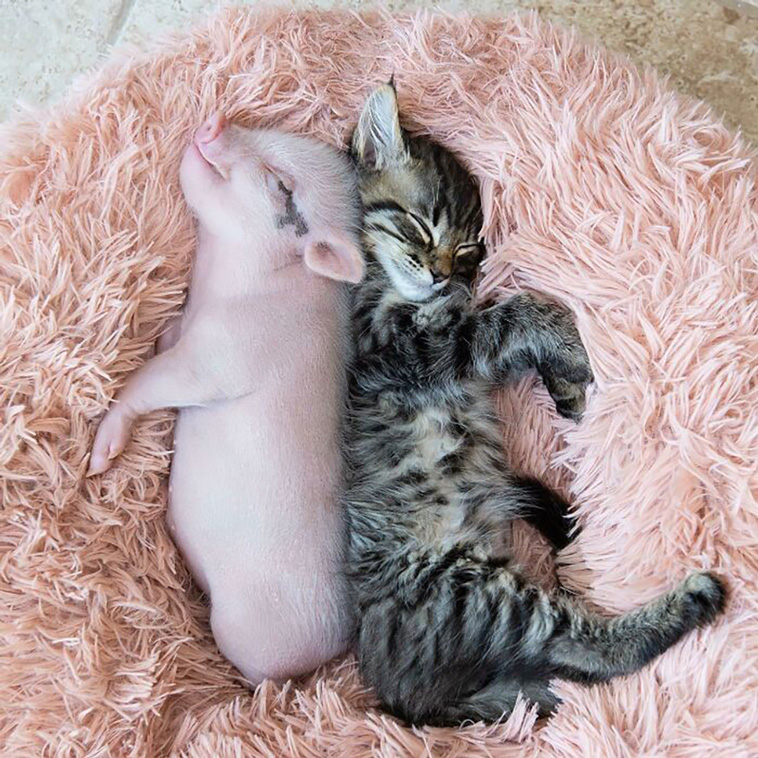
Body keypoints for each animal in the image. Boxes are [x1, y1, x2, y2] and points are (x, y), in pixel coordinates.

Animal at [88, 112, 364, 685]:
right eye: (268, 132)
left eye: (282, 186)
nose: (214, 122)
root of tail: (327, 655)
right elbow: (161, 348)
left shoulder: (222, 356)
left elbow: (153, 380)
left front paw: (98, 459)